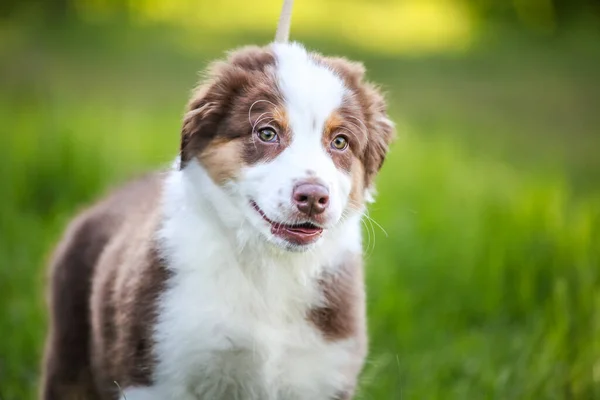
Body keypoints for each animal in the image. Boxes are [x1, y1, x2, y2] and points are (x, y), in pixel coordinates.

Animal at [38, 1, 394, 398]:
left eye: (340, 142)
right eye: (267, 133)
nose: (313, 197)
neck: (269, 269)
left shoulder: (324, 372)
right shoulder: (155, 370)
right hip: (69, 354)